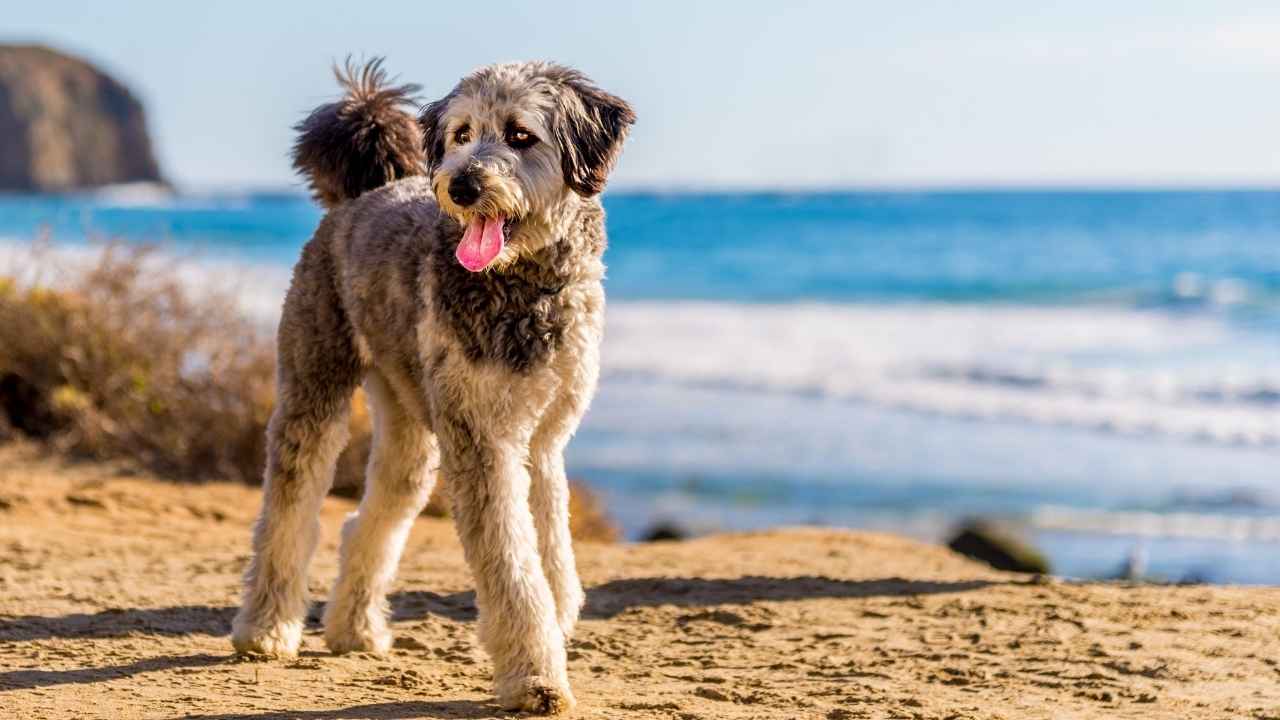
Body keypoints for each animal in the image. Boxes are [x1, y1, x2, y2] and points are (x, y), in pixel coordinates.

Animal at [231, 60, 634, 712]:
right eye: (462, 133)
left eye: (520, 135)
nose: (462, 186)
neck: (523, 287)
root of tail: (360, 195)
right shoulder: (483, 443)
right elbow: (514, 567)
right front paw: (535, 675)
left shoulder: (543, 442)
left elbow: (551, 552)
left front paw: (555, 623)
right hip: (315, 387)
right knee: (289, 512)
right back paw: (266, 627)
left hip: (410, 426)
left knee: (370, 519)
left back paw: (354, 628)